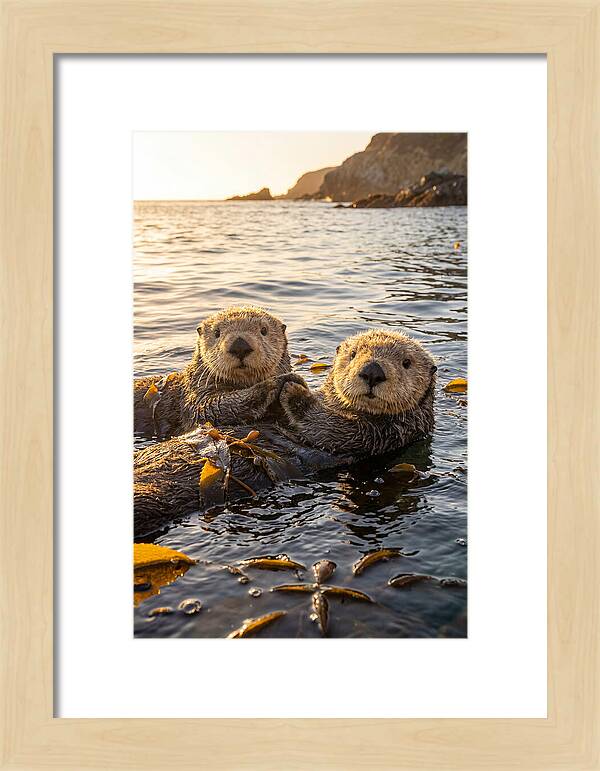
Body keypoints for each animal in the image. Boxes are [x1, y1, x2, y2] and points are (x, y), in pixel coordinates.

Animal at [134, 305, 297, 439]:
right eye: (217, 332)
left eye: (264, 330)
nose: (240, 346)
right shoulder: (196, 396)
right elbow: (209, 408)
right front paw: (276, 383)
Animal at [134, 330, 436, 538]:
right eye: (352, 356)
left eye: (406, 363)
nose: (372, 371)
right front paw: (282, 382)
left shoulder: (380, 434)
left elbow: (327, 426)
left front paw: (293, 389)